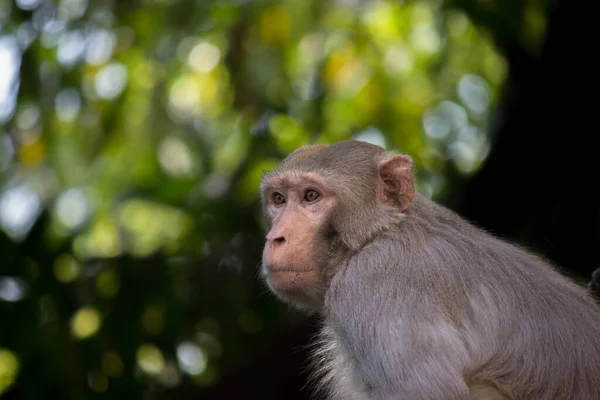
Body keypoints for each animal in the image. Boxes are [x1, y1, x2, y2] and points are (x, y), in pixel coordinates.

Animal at [260, 140, 600, 400]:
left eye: (311, 196)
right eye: (278, 199)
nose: (276, 238)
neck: (377, 235)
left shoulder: (374, 282)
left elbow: (427, 391)